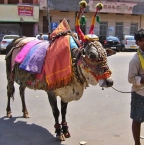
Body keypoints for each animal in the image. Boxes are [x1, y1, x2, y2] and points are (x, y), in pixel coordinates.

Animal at [5, 0, 115, 140]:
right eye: (91, 55)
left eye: (106, 55)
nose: (109, 81)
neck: (72, 61)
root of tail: (16, 40)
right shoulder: (51, 91)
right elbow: (56, 111)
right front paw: (58, 132)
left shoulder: (65, 91)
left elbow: (64, 111)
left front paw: (66, 130)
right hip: (9, 75)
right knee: (9, 91)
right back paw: (9, 112)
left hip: (23, 78)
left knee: (21, 91)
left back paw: (25, 112)